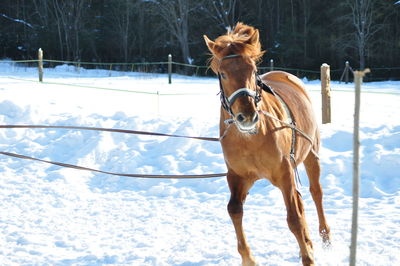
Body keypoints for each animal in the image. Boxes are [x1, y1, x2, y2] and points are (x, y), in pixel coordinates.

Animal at [205, 23, 330, 266]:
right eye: (223, 73)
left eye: (253, 70)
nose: (247, 116)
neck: (251, 138)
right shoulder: (238, 176)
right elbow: (234, 210)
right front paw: (248, 258)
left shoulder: (284, 173)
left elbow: (294, 218)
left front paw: (308, 257)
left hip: (311, 154)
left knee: (316, 193)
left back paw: (323, 237)